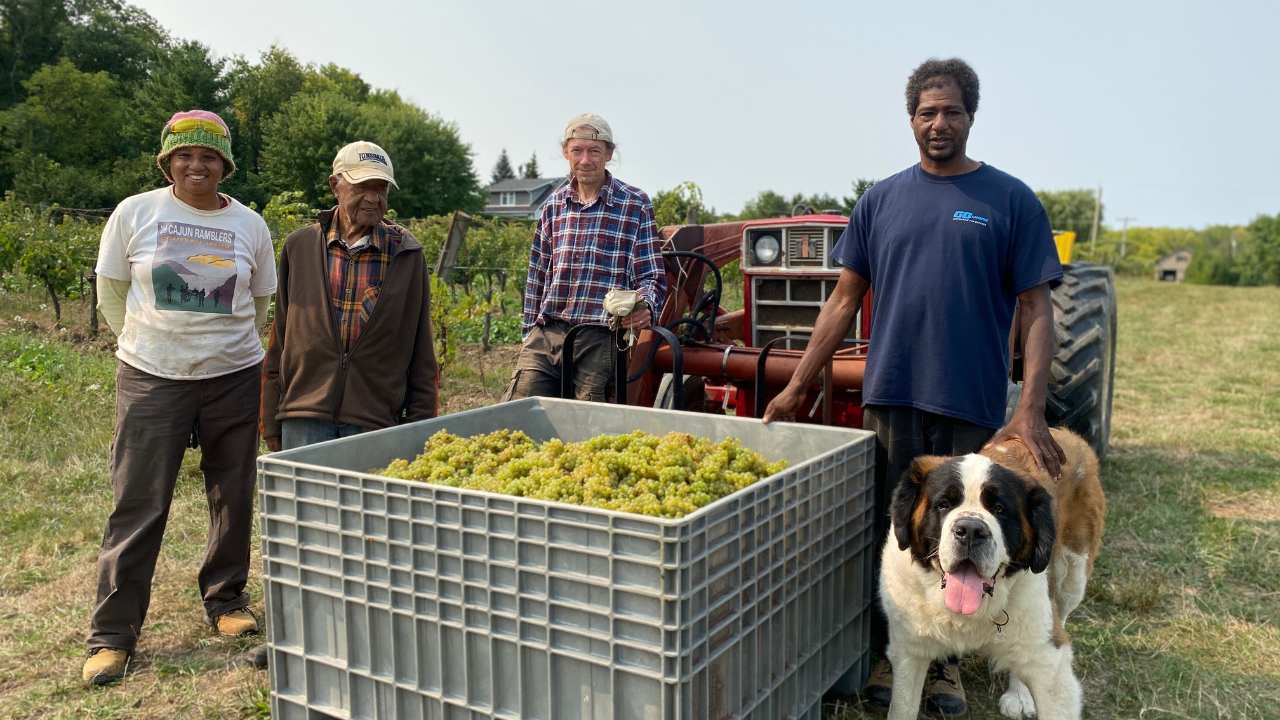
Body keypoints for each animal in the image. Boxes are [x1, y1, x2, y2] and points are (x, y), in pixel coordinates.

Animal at [885, 425, 1105, 717]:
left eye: (999, 509)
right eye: (943, 504)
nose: (970, 530)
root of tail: (1064, 432)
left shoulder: (1052, 665)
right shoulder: (910, 650)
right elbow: (902, 707)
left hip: (1073, 574)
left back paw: (1019, 693)